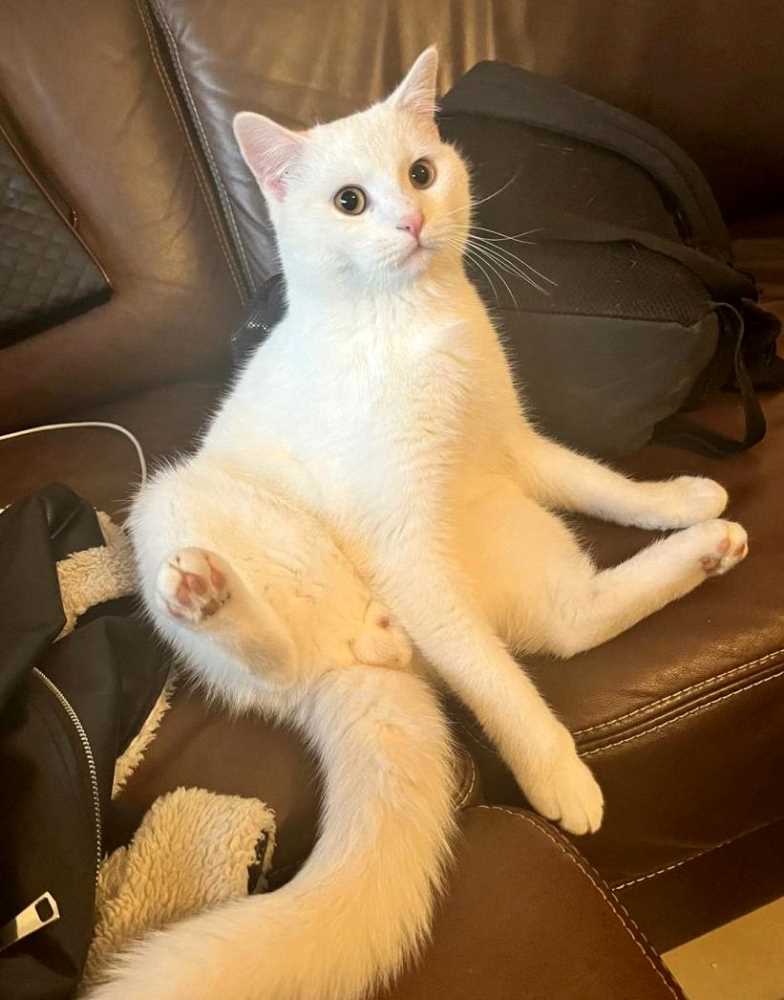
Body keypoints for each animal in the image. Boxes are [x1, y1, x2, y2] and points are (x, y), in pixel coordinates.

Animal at [88, 46, 747, 1000]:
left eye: (423, 173)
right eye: (349, 201)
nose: (409, 219)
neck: (415, 325)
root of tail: (367, 671)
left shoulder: (516, 448)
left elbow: (606, 485)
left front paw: (682, 497)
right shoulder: (400, 539)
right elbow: (502, 689)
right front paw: (554, 770)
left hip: (511, 542)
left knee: (572, 624)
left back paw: (710, 546)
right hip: (182, 509)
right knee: (317, 655)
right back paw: (215, 594)